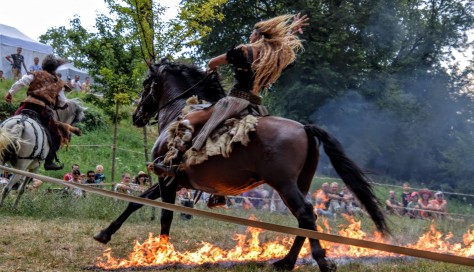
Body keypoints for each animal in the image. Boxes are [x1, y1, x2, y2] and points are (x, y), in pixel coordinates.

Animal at [93, 58, 388, 270]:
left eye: (146, 84)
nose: (137, 116)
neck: (179, 113)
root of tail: (304, 128)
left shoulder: (167, 178)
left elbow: (165, 215)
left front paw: (162, 253)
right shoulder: (173, 181)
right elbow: (137, 202)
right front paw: (105, 233)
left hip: (284, 185)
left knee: (305, 214)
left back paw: (319, 261)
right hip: (298, 184)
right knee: (305, 218)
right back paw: (287, 262)